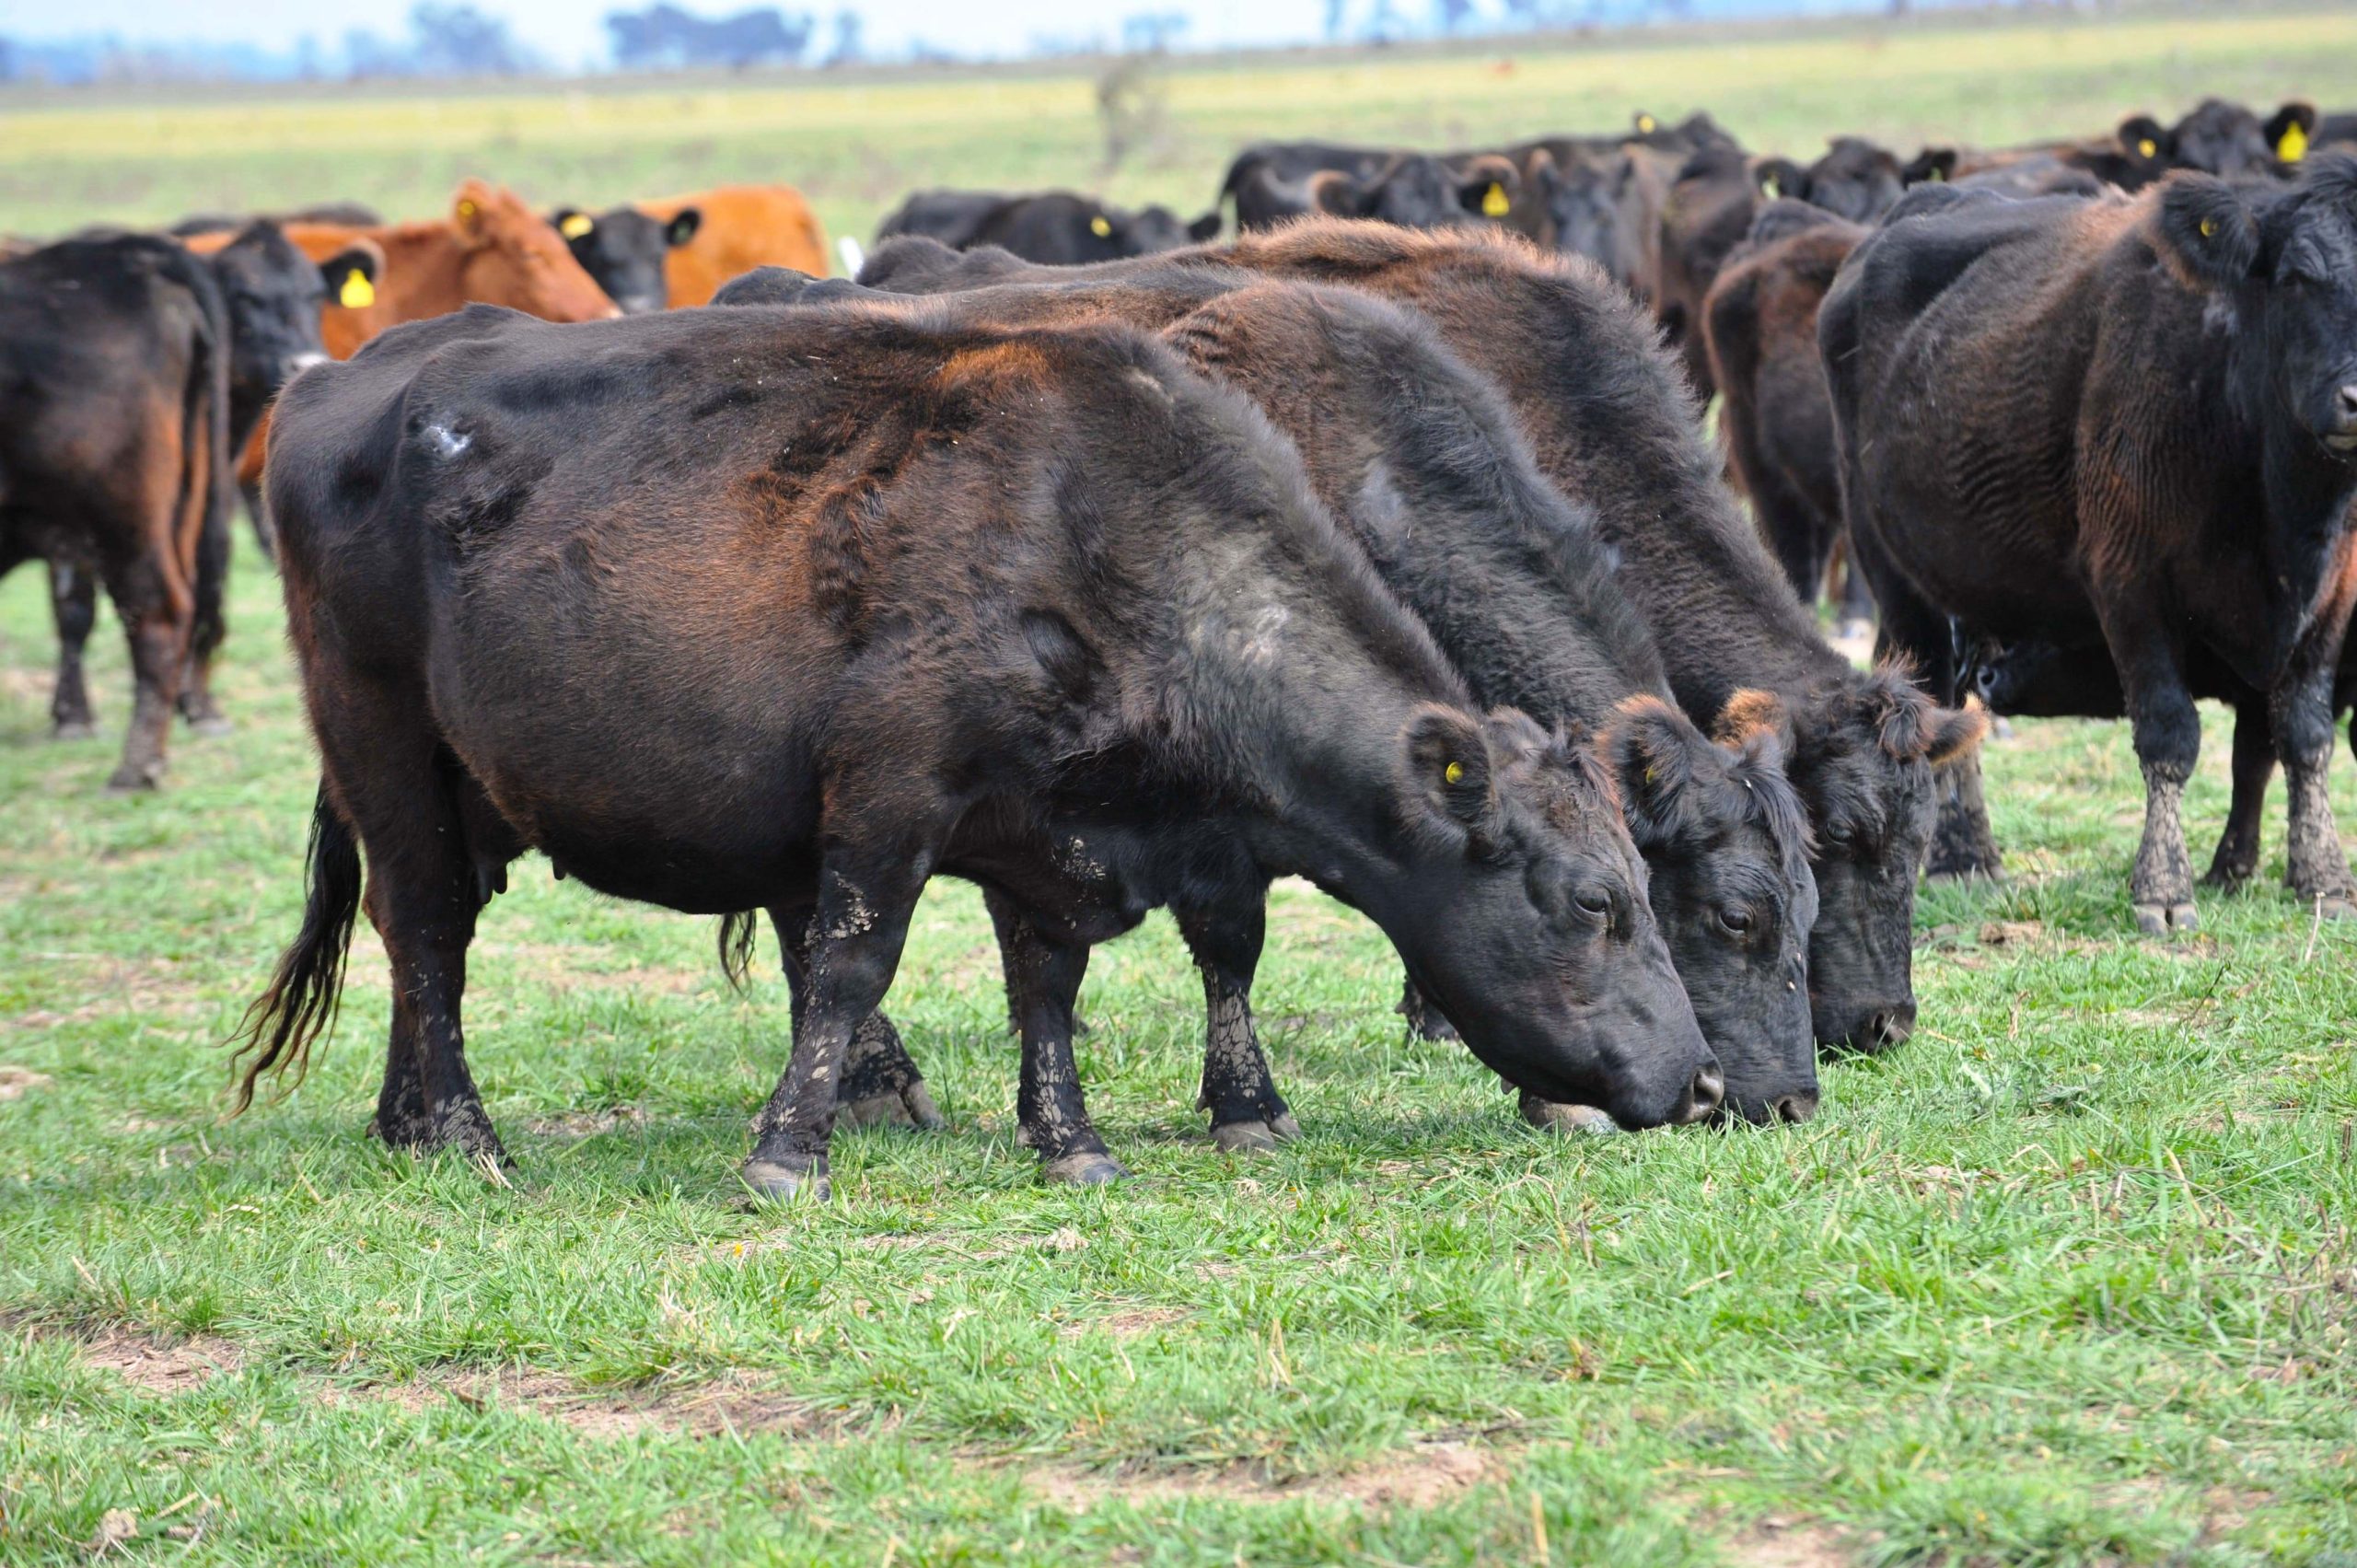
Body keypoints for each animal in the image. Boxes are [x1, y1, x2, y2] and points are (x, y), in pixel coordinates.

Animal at [238, 296, 1724, 1197]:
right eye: (1596, 900)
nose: (1702, 1075)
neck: (1101, 531)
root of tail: (344, 377)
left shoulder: (1043, 828)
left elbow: (1047, 986)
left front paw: (1070, 1139)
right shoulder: (889, 798)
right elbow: (849, 966)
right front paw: (788, 1150)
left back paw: (407, 1120)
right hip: (389, 756)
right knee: (427, 932)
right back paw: (464, 1131)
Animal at [1829, 160, 2357, 928]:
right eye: (2295, 277)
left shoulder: (2334, 596)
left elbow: (2305, 734)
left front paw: (2322, 877)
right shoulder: (2129, 581)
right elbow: (2170, 734)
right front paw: (2162, 888)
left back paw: (1972, 854)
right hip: (1895, 575)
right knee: (1927, 697)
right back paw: (1956, 858)